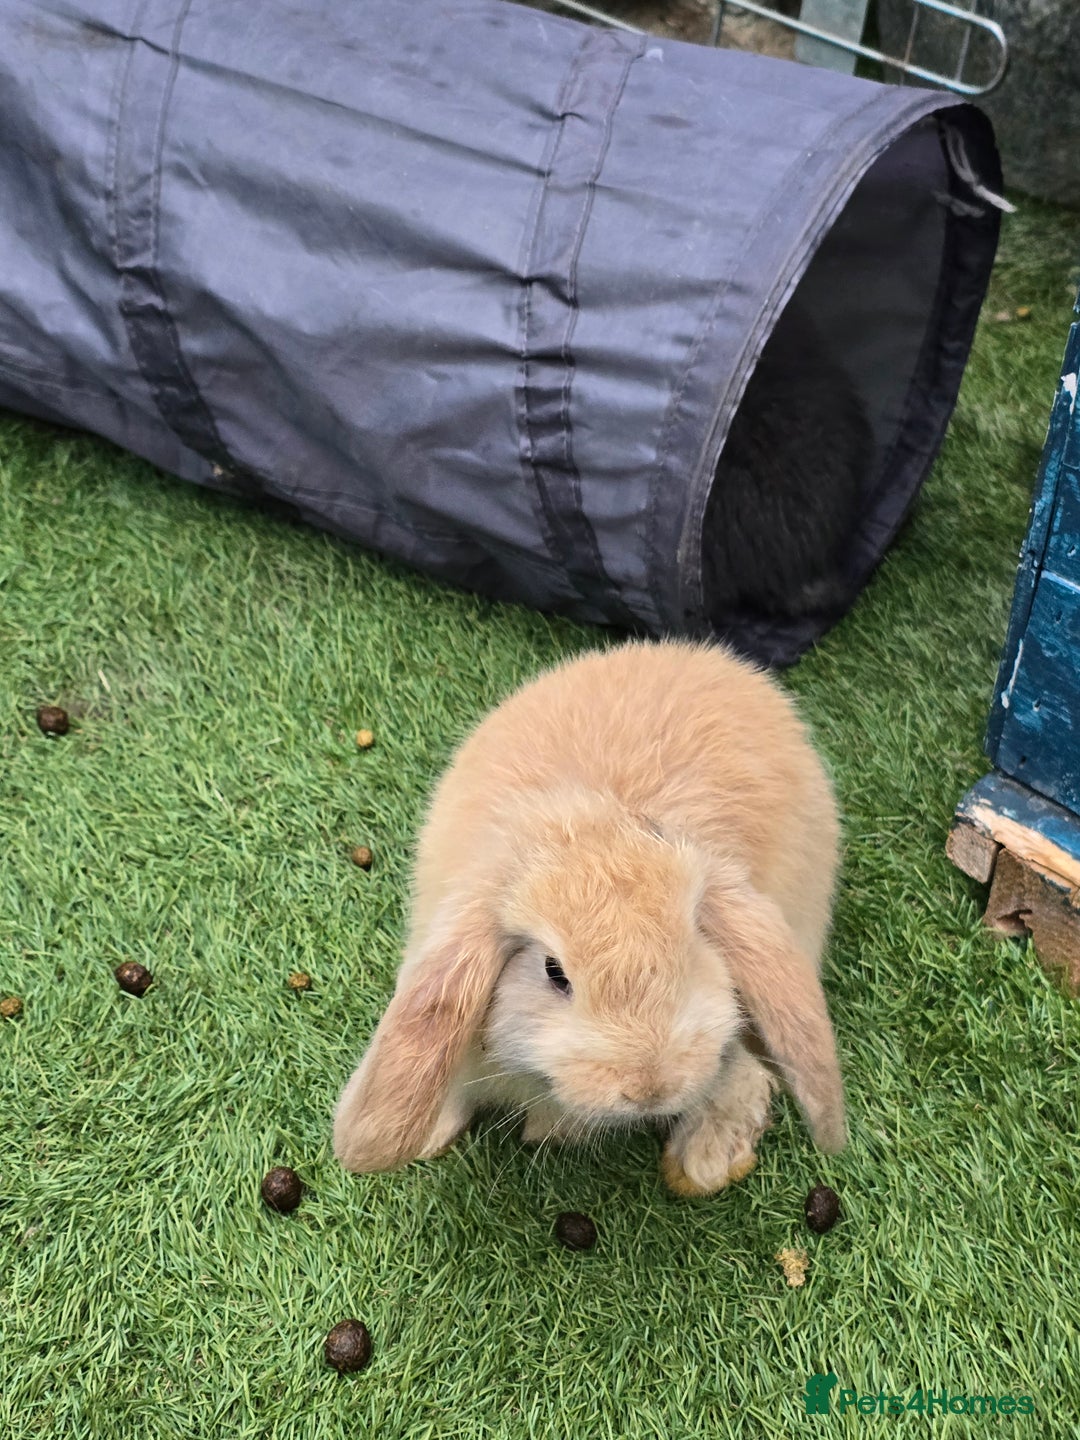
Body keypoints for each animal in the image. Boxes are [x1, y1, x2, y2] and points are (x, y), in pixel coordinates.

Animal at [333, 638, 845, 1196]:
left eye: (693, 949)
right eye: (555, 973)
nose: (649, 1089)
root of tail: (715, 660)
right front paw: (429, 1136)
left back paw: (703, 1160)